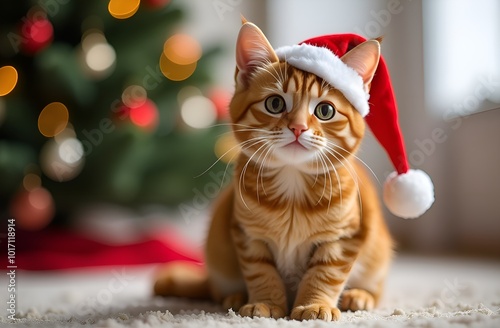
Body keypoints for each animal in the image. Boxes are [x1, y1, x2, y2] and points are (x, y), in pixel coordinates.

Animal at [154, 21, 392, 322]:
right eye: (275, 104)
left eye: (325, 110)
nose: (298, 127)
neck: (292, 187)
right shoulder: (247, 234)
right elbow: (260, 270)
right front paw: (265, 303)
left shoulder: (344, 237)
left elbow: (325, 273)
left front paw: (315, 304)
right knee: (216, 290)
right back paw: (234, 296)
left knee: (376, 289)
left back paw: (359, 295)